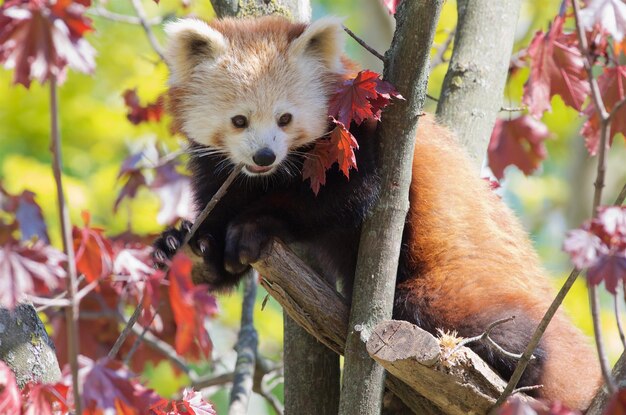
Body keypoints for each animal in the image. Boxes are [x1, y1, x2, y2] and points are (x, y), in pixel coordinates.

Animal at [152, 15, 600, 410]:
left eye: (285, 118)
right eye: (239, 120)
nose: (264, 155)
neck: (272, 177)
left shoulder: (359, 137)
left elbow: (343, 198)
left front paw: (252, 226)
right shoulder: (222, 174)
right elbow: (216, 226)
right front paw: (184, 243)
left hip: (458, 286)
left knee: (474, 324)